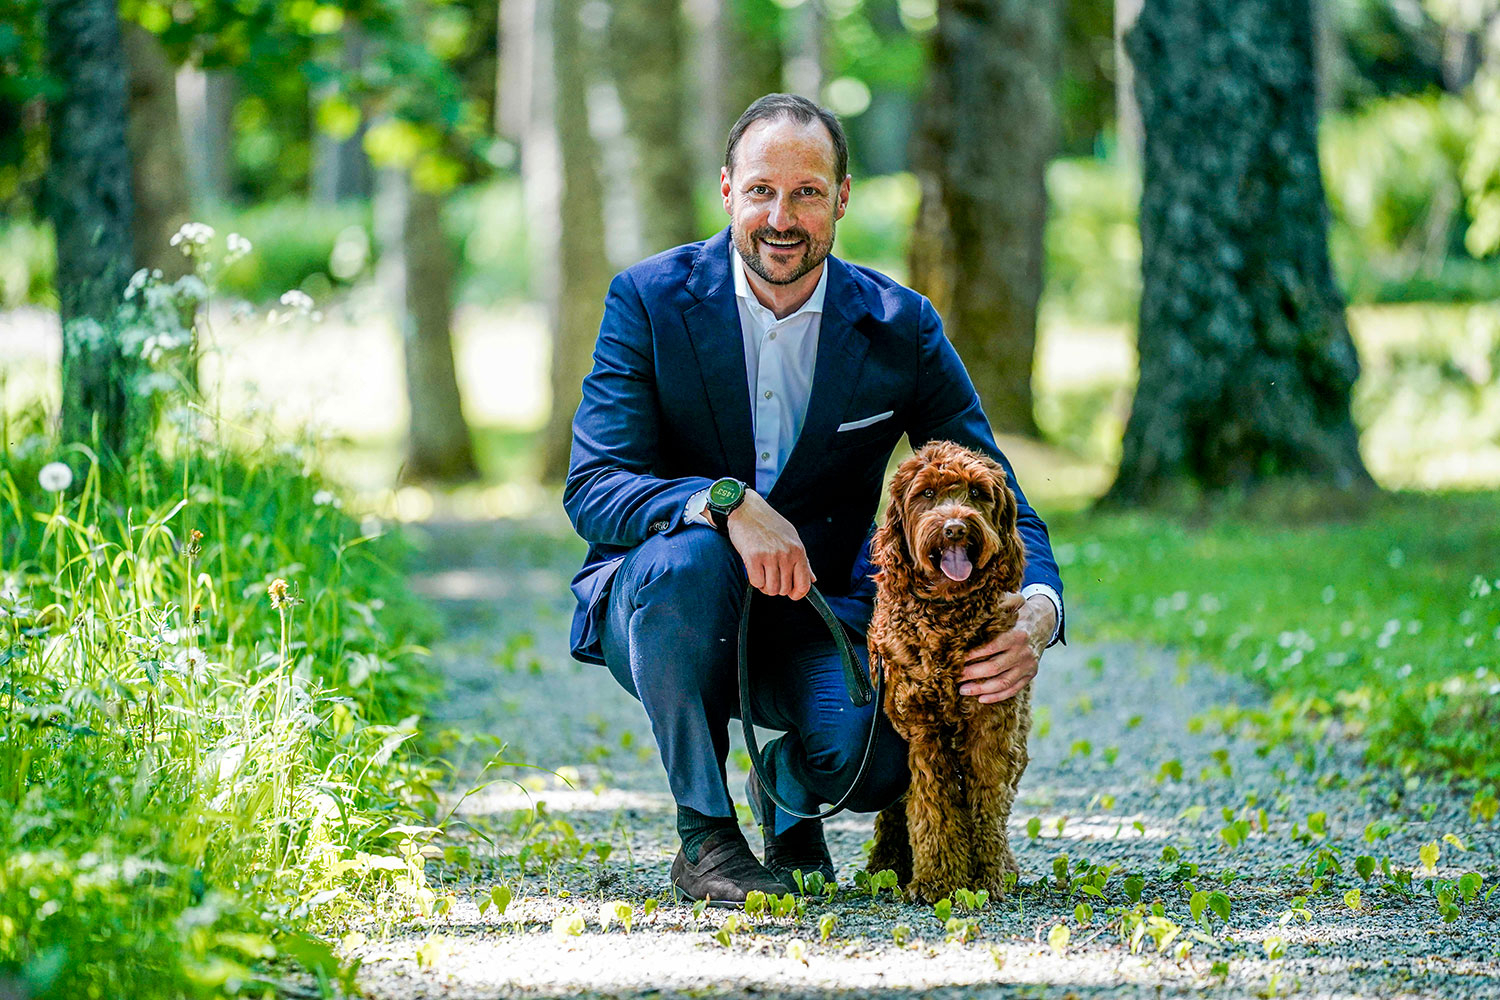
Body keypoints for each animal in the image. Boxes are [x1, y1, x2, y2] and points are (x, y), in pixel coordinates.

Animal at [870, 440, 1032, 905]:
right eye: (926, 494)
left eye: (977, 493)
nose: (955, 529)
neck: (947, 616)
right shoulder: (921, 728)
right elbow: (935, 807)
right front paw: (938, 881)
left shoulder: (992, 724)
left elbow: (988, 803)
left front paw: (987, 877)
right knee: (895, 809)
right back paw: (886, 865)